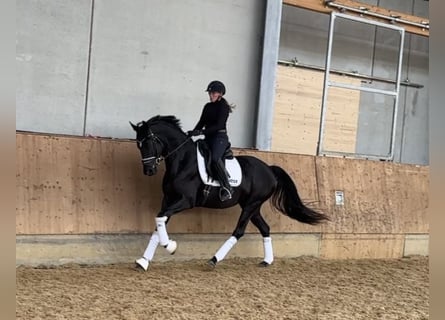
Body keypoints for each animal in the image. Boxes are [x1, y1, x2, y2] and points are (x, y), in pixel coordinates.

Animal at [130, 115, 328, 270]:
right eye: (138, 145)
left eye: (148, 142)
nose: (149, 170)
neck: (183, 161)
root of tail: (269, 170)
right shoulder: (168, 199)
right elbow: (159, 221)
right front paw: (144, 261)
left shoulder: (185, 200)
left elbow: (160, 219)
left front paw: (170, 246)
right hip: (252, 206)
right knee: (265, 228)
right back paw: (267, 261)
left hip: (250, 205)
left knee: (239, 231)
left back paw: (214, 260)